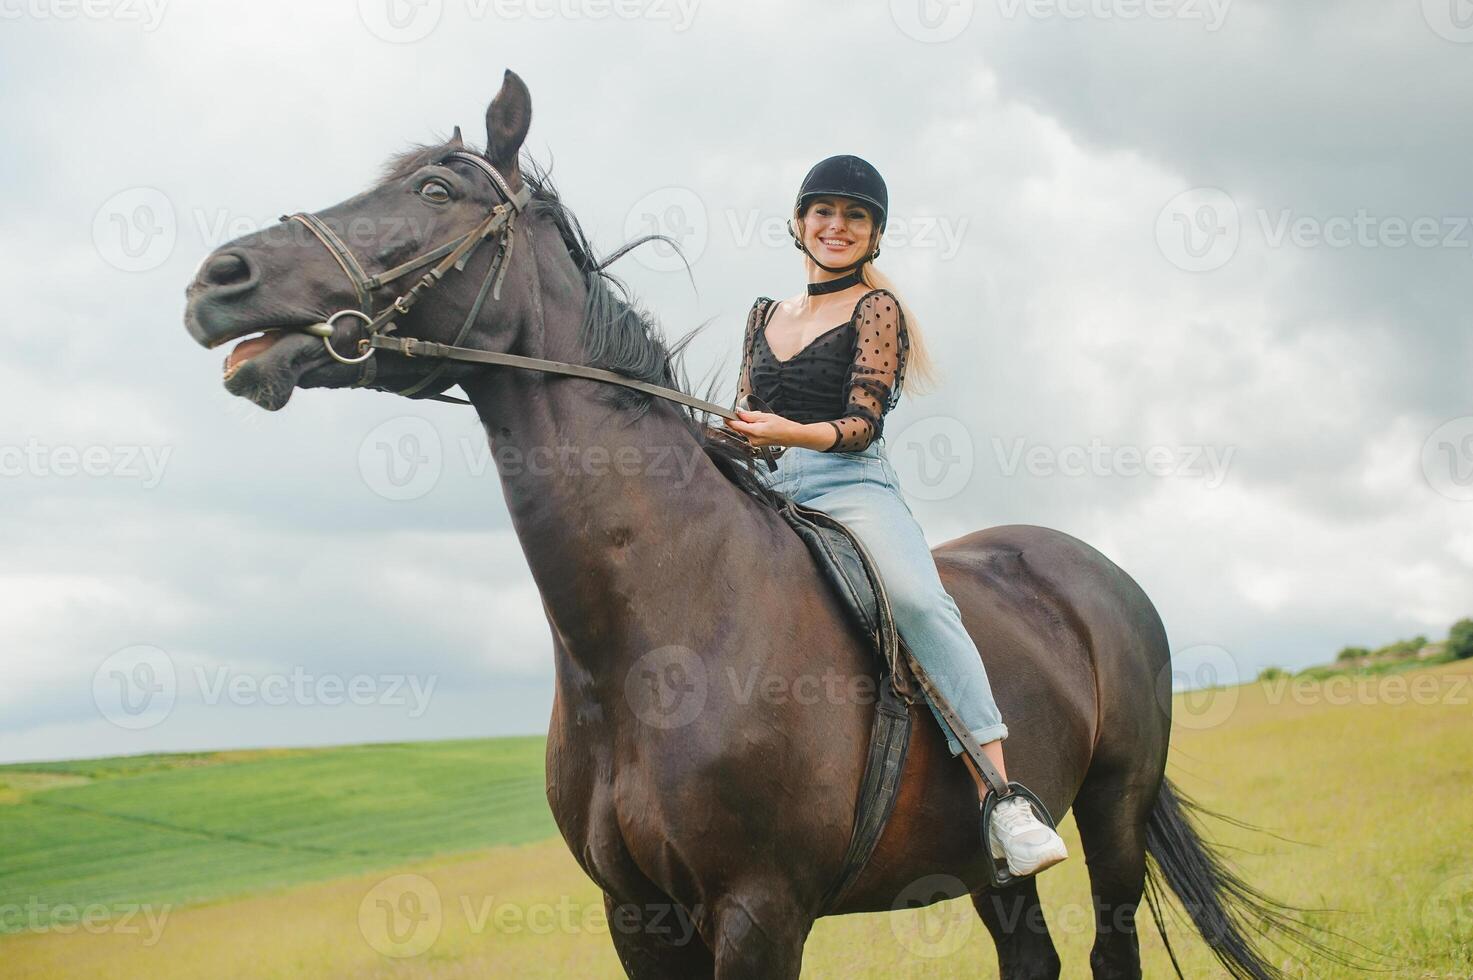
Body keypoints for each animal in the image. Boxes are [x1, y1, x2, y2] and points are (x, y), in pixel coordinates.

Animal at [181, 70, 1313, 978]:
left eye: (433, 191)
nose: (216, 280)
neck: (661, 621)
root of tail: (1092, 571)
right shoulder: (638, 917)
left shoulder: (759, 910)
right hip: (991, 871)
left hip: (1114, 814)